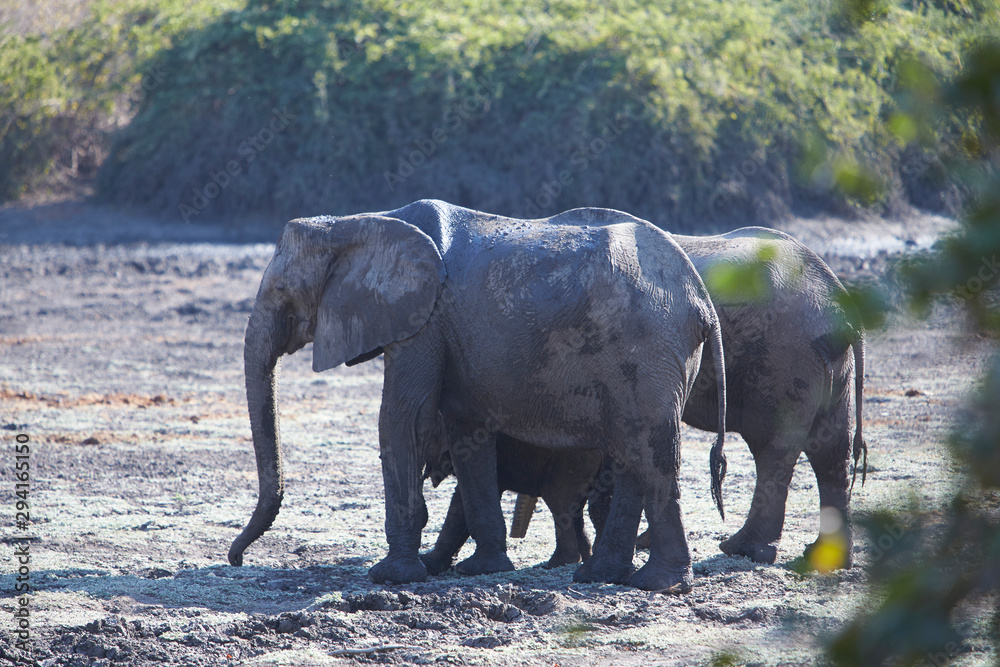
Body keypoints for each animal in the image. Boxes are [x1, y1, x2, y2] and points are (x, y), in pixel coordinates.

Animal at [228, 199, 728, 592]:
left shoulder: (424, 318)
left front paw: (390, 577)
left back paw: (659, 584)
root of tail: (702, 299)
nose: (237, 558)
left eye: (282, 291)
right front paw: (481, 571)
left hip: (649, 348)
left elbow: (402, 418)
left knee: (651, 450)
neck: (360, 223)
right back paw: (599, 577)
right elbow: (466, 433)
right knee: (630, 452)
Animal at [438, 226, 866, 569]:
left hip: (782, 358)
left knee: (773, 447)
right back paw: (824, 557)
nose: (519, 534)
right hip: (823, 364)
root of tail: (837, 295)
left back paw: (742, 549)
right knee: (830, 450)